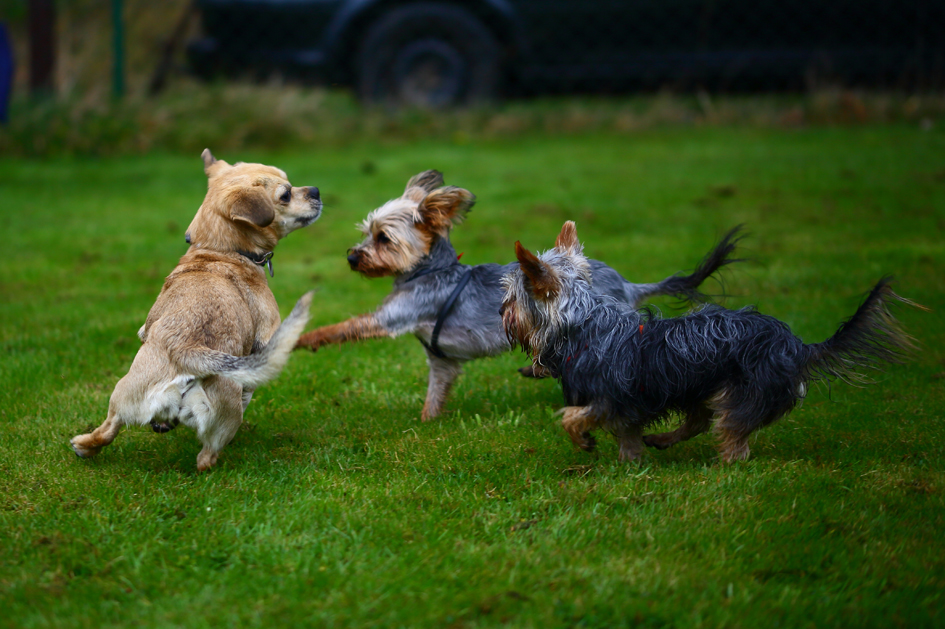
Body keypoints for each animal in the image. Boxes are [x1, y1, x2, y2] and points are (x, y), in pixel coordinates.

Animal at [70, 150, 320, 468]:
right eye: (286, 194)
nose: (316, 191)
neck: (219, 250)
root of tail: (188, 350)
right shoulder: (264, 341)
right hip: (215, 415)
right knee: (206, 456)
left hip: (125, 393)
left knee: (109, 429)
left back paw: (85, 445)